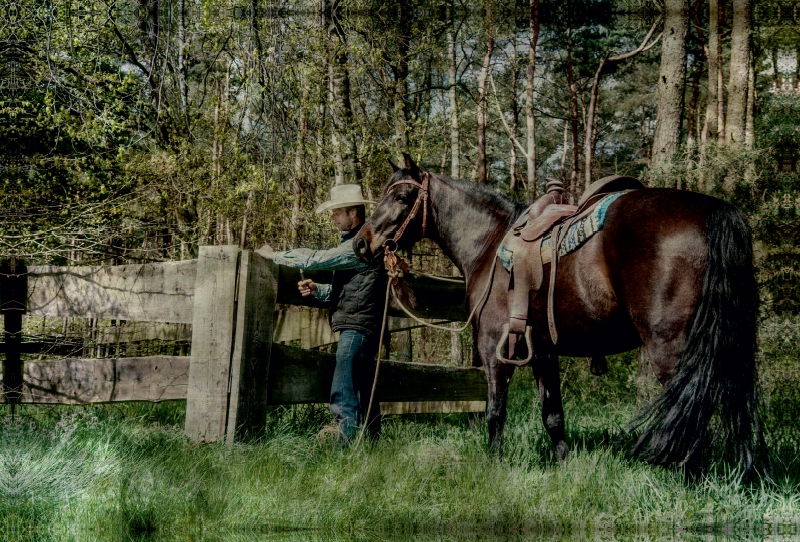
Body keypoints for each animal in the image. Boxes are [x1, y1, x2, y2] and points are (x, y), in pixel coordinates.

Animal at [354, 154, 764, 480]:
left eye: (401, 196)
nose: (361, 243)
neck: (489, 245)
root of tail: (715, 212)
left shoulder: (494, 348)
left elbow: (495, 413)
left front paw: (494, 466)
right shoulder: (542, 351)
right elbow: (553, 415)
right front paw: (563, 465)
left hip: (674, 351)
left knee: (693, 413)